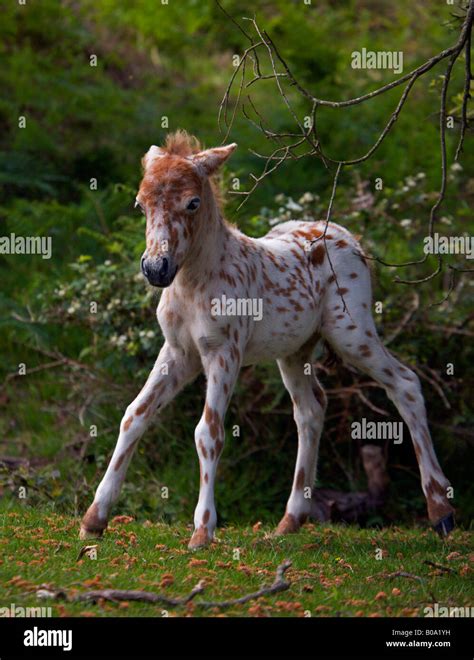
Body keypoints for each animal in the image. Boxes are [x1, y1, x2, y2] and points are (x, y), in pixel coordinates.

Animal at [80, 130, 456, 548]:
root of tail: (349, 238)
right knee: (310, 410)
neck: (193, 282)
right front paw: (94, 517)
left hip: (352, 332)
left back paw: (441, 511)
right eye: (140, 203)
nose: (156, 268)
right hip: (294, 352)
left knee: (405, 383)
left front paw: (203, 530)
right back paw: (290, 520)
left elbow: (208, 432)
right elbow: (134, 415)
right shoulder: (178, 352)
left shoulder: (224, 352)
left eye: (193, 202)